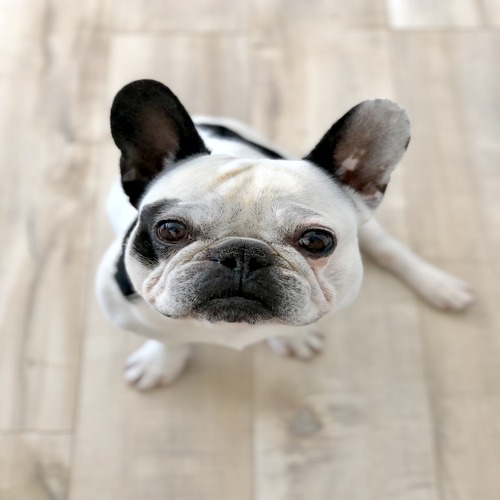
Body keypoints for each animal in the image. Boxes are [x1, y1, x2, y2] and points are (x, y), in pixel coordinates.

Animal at [96, 79, 473, 390]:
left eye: (316, 241)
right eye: (171, 230)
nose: (242, 254)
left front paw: (294, 340)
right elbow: (168, 338)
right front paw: (161, 362)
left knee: (389, 249)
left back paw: (440, 286)